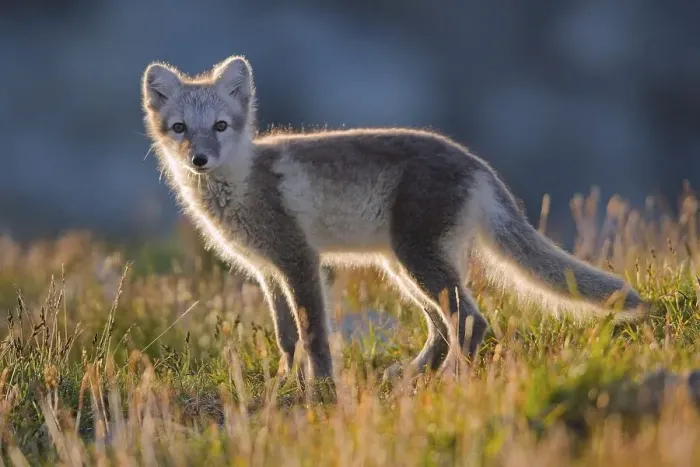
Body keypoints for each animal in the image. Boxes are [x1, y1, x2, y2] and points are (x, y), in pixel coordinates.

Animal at [140, 55, 650, 388]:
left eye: (221, 126)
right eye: (180, 128)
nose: (200, 160)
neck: (242, 183)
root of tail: (476, 164)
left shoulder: (299, 260)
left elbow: (314, 334)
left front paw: (321, 390)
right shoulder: (268, 270)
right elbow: (287, 337)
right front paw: (284, 382)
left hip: (416, 258)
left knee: (470, 320)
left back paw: (449, 381)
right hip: (402, 267)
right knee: (442, 327)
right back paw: (413, 374)